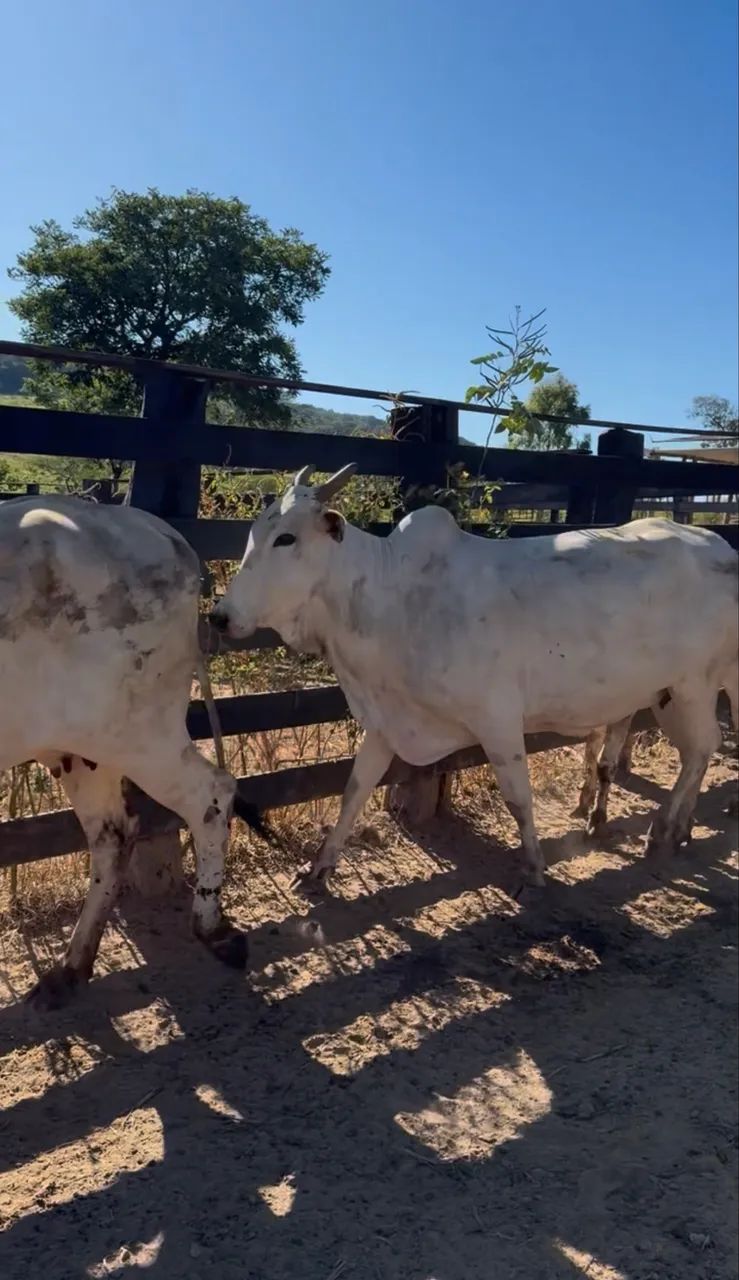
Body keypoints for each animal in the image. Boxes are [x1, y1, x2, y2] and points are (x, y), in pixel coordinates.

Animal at [0, 494, 268, 1009]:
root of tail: (157, 529)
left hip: (142, 735)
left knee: (211, 795)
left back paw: (212, 928)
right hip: (85, 746)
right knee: (112, 833)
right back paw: (71, 967)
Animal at [210, 463, 738, 890]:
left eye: (287, 538)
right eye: (256, 534)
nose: (220, 616)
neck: (392, 600)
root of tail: (720, 546)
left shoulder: (497, 719)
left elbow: (518, 797)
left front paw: (533, 866)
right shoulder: (385, 720)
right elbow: (353, 793)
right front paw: (318, 868)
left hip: (693, 684)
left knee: (703, 746)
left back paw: (664, 830)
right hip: (667, 691)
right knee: (693, 750)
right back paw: (678, 826)